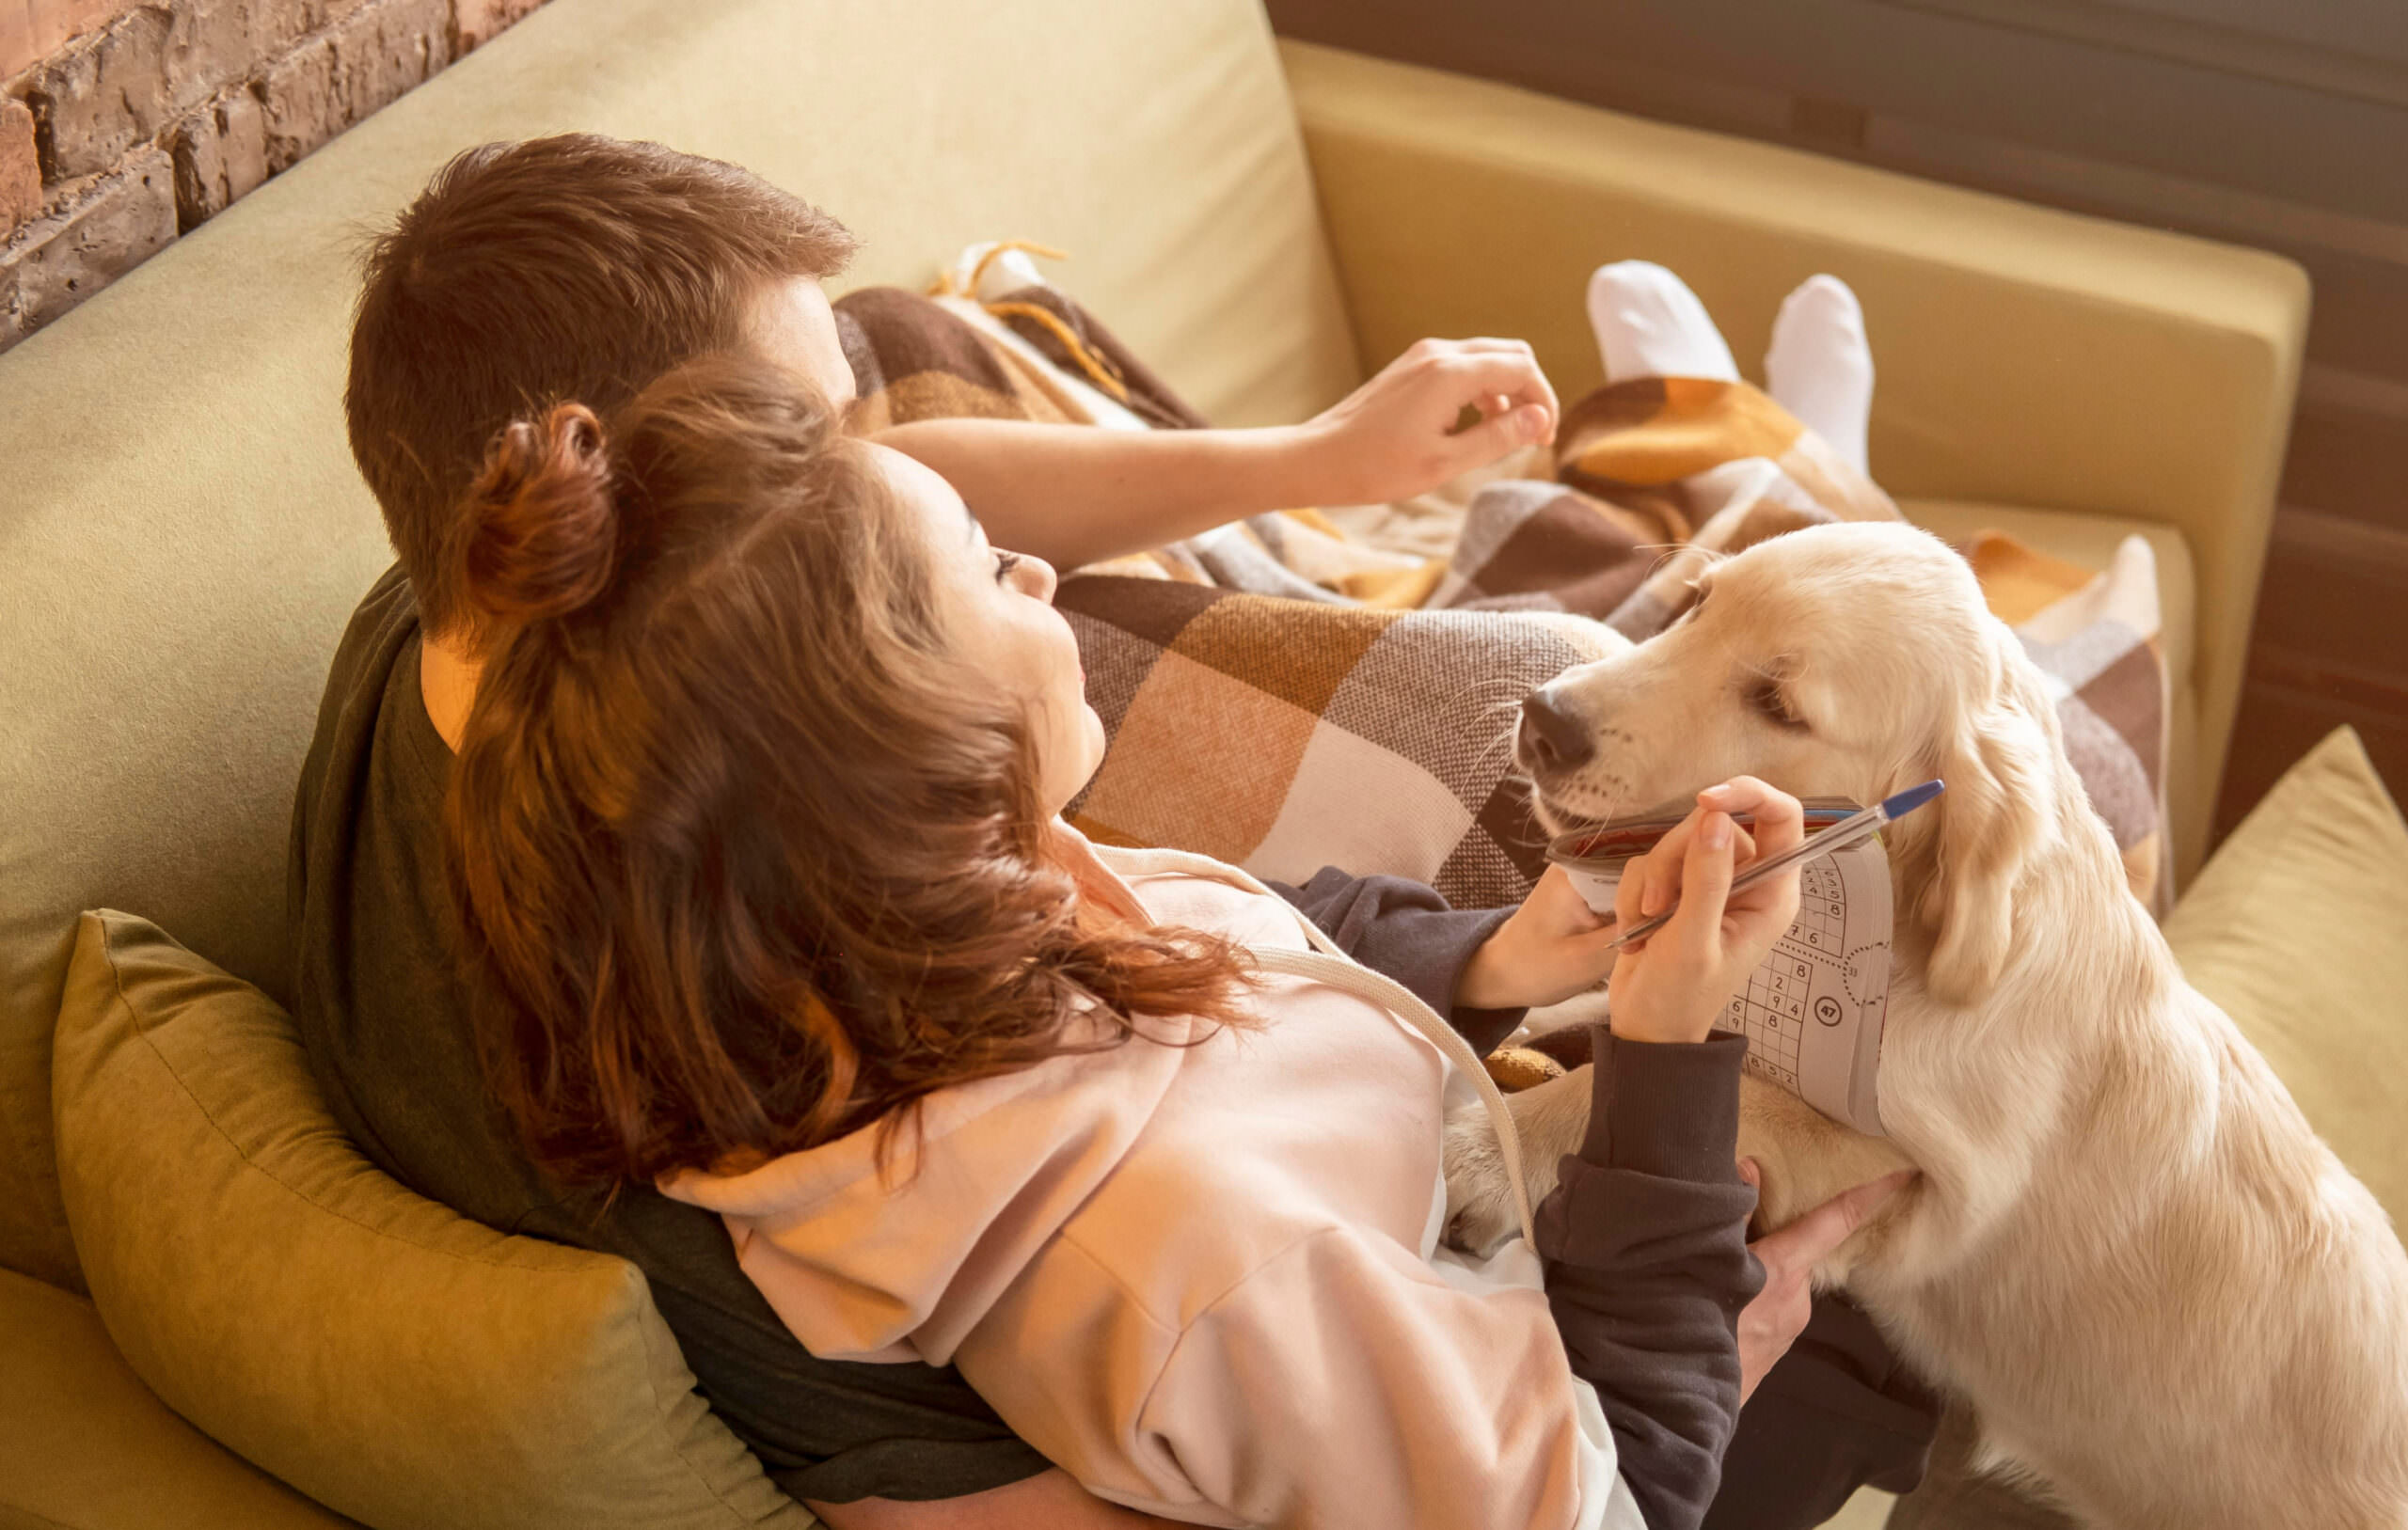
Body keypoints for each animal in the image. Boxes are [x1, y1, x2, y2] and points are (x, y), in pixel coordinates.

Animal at [1445, 519, 2408, 1520]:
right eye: (1699, 602)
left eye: (1779, 703)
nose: (1543, 719)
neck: (1914, 932)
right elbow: (1604, 1007)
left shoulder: (1918, 1188)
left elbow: (1732, 1090)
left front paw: (1491, 1143)